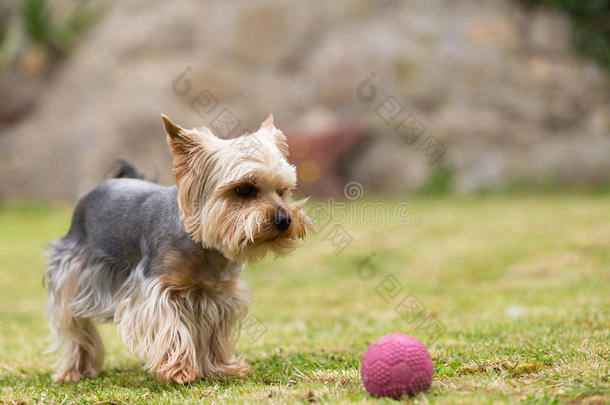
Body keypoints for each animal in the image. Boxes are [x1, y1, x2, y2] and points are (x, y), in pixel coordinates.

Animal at [44, 113, 308, 382]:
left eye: (282, 191)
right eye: (244, 189)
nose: (284, 220)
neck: (203, 245)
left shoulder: (220, 295)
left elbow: (215, 333)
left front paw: (220, 368)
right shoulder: (157, 289)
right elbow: (170, 325)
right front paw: (179, 370)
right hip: (73, 275)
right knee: (76, 328)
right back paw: (75, 371)